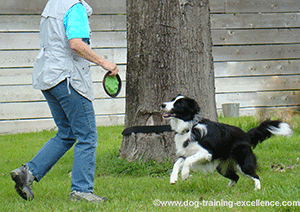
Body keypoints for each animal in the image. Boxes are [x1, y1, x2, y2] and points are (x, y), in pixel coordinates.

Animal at [162, 95, 292, 190]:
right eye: (172, 100)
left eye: (178, 104)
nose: (162, 105)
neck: (190, 126)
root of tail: (246, 135)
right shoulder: (186, 152)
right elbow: (178, 162)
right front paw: (173, 178)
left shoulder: (206, 152)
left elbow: (188, 161)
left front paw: (184, 174)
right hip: (222, 168)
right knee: (236, 177)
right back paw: (228, 188)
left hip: (243, 163)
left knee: (255, 175)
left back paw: (257, 189)